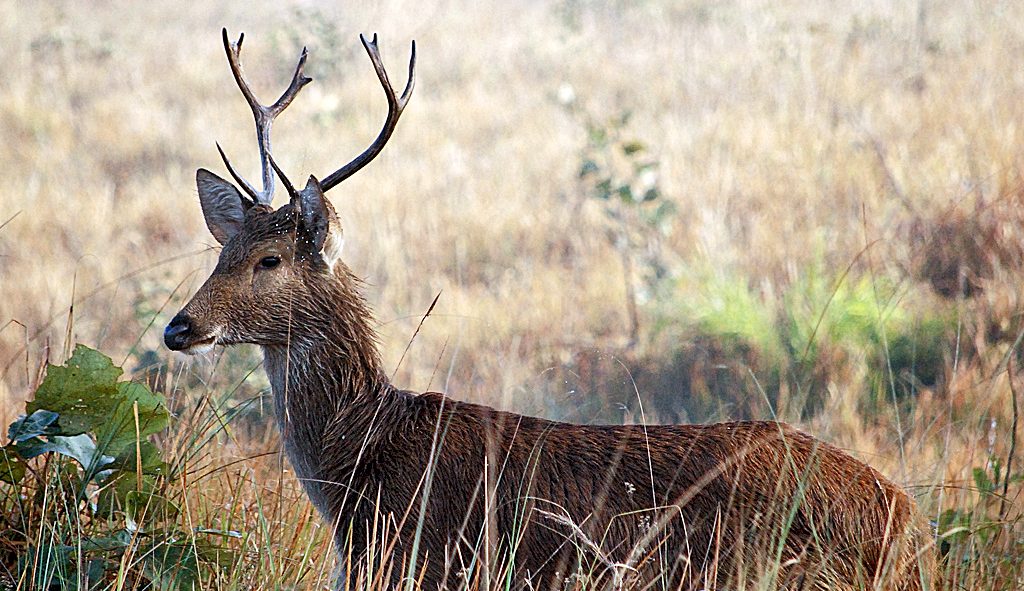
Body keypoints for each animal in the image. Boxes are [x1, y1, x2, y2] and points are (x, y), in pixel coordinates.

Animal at [163, 28, 933, 589]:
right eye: (223, 249)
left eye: (270, 260)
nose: (179, 326)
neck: (362, 462)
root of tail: (907, 520)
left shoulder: (425, 559)